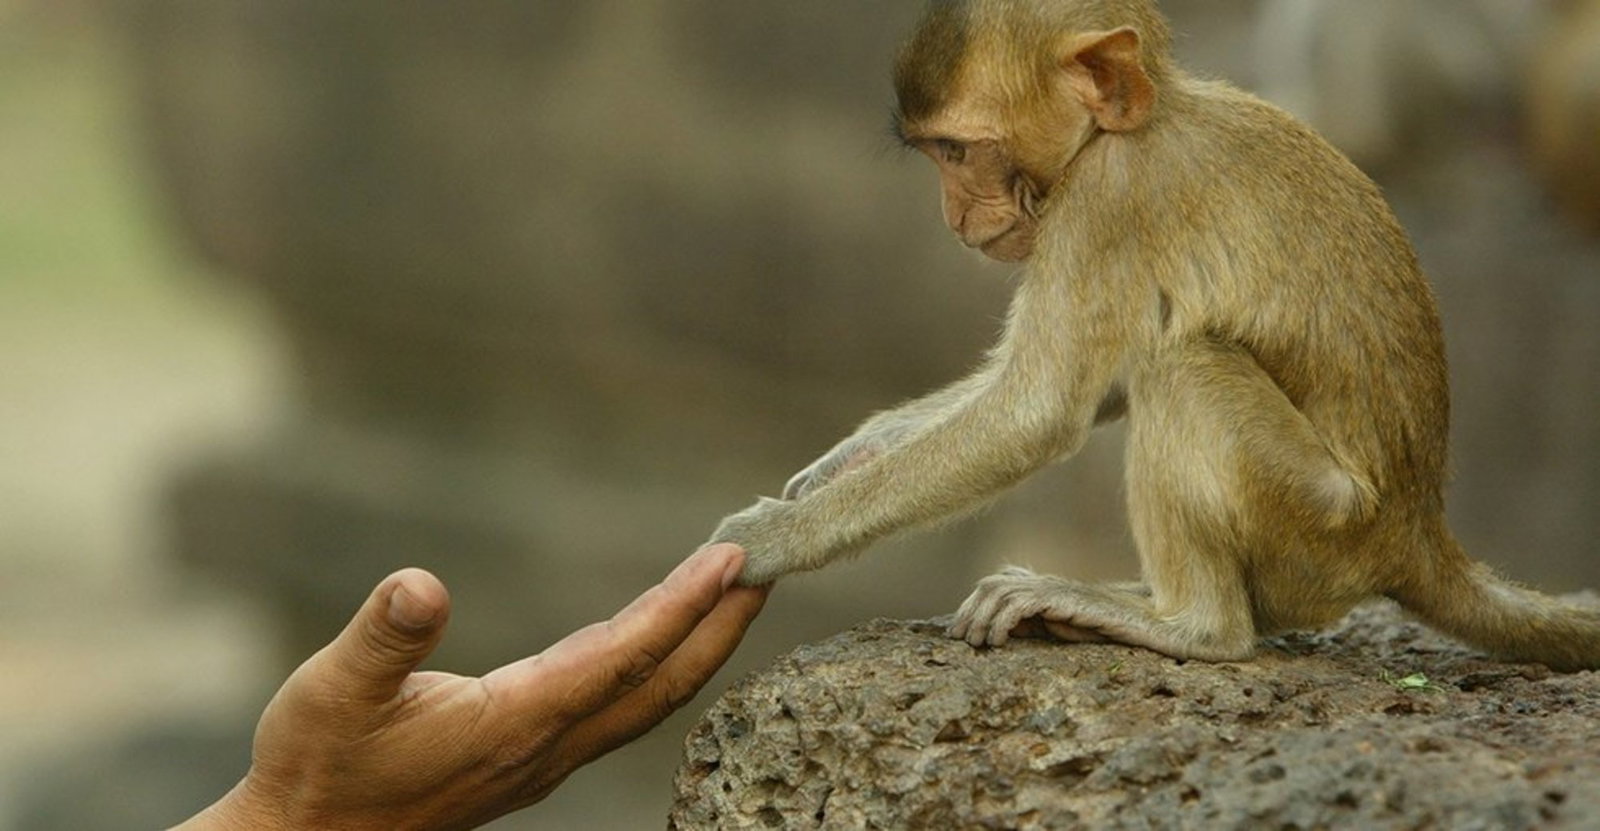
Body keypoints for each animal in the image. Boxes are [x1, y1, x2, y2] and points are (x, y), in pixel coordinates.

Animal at [707, 0, 1600, 671]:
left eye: (958, 151)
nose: (953, 215)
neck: (1133, 125)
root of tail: (1416, 536)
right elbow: (1093, 384)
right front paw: (856, 453)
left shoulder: (1106, 201)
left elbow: (1037, 412)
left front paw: (770, 540)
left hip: (1320, 525)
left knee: (1185, 366)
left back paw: (1190, 624)